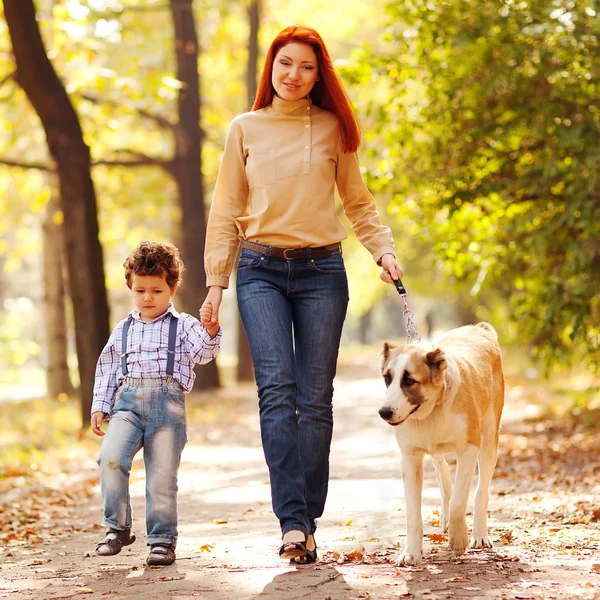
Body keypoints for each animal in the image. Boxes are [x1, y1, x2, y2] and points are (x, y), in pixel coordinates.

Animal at [382, 322, 504, 564]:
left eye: (408, 380)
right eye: (387, 378)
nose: (384, 412)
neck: (431, 410)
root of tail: (479, 328)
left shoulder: (469, 449)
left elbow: (459, 501)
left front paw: (459, 539)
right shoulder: (410, 459)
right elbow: (413, 513)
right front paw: (411, 552)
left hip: (489, 440)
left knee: (480, 491)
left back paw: (479, 534)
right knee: (442, 467)